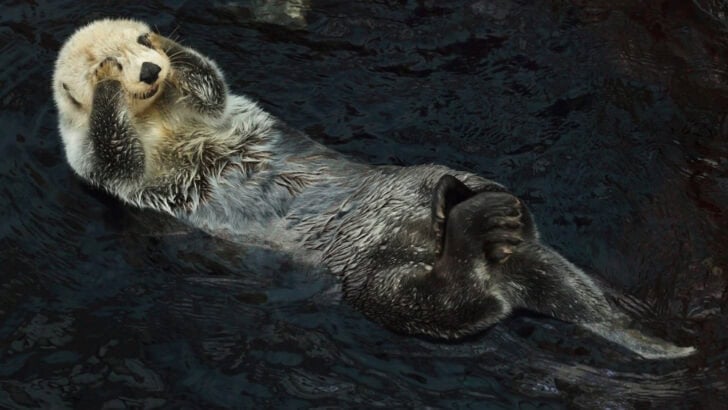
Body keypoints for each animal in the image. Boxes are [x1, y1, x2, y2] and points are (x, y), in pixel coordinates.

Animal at [53, 18, 694, 359]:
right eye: (118, 60)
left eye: (141, 49)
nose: (148, 68)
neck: (160, 116)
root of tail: (503, 267)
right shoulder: (95, 165)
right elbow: (115, 153)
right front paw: (106, 86)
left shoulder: (214, 107)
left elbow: (212, 84)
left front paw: (173, 46)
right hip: (375, 285)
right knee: (454, 303)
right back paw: (477, 224)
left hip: (427, 197)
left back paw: (479, 200)